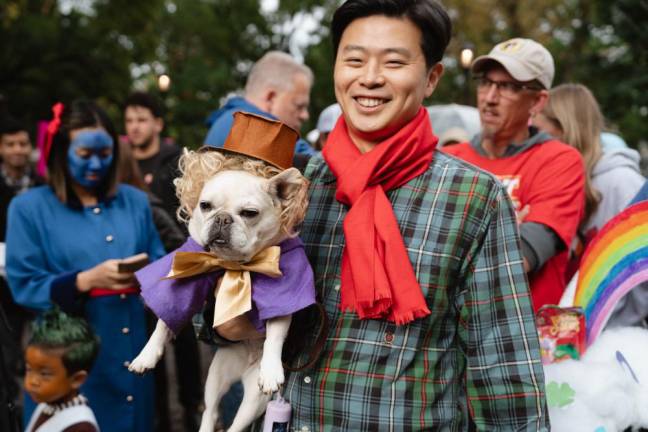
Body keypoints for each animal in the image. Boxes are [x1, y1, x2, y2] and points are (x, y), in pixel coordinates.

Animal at [127, 112, 314, 432]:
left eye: (249, 213)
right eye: (205, 205)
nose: (223, 219)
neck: (232, 266)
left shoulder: (283, 287)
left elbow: (276, 332)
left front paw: (271, 369)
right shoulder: (183, 276)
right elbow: (164, 320)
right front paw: (146, 355)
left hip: (254, 400)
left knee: (236, 423)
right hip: (216, 377)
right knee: (210, 410)